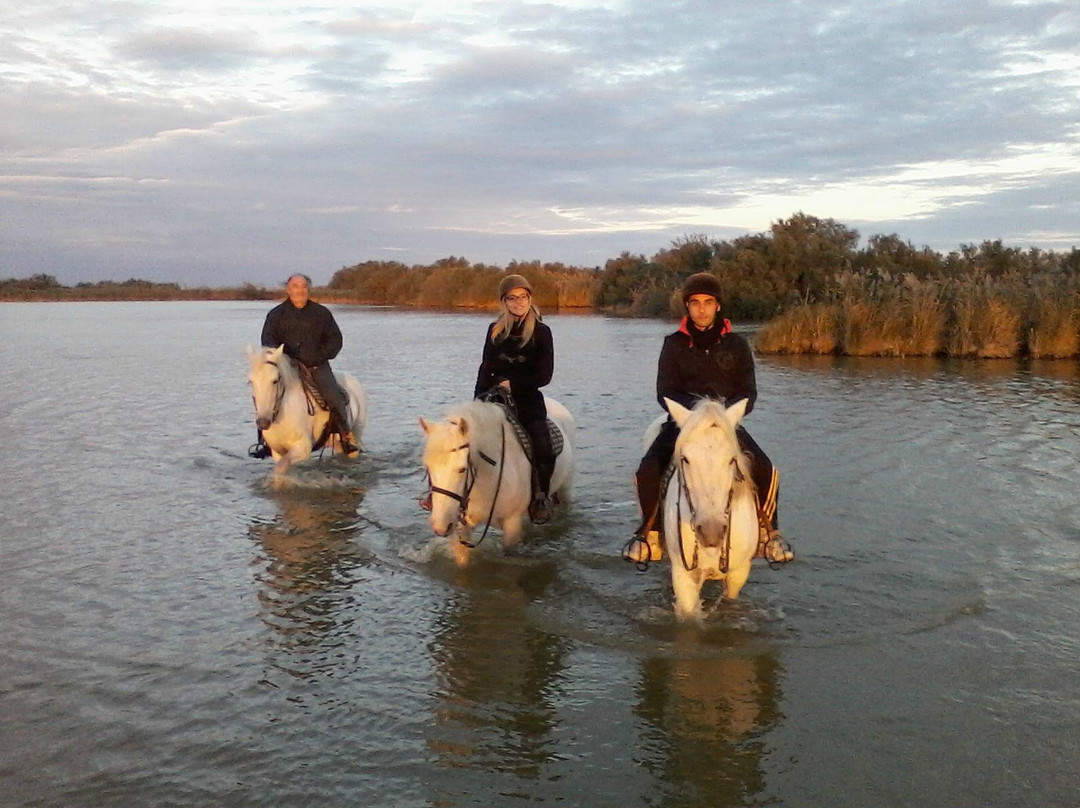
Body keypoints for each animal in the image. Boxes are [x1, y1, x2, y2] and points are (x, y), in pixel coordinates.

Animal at [247, 343, 369, 477]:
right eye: (251, 381)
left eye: (275, 380)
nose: (263, 422)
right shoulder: (278, 453)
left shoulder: (302, 449)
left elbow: (281, 467)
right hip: (338, 443)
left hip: (356, 434)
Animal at [419, 395, 574, 566]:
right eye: (428, 467)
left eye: (462, 469)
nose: (441, 526)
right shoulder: (461, 526)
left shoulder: (512, 524)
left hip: (565, 490)